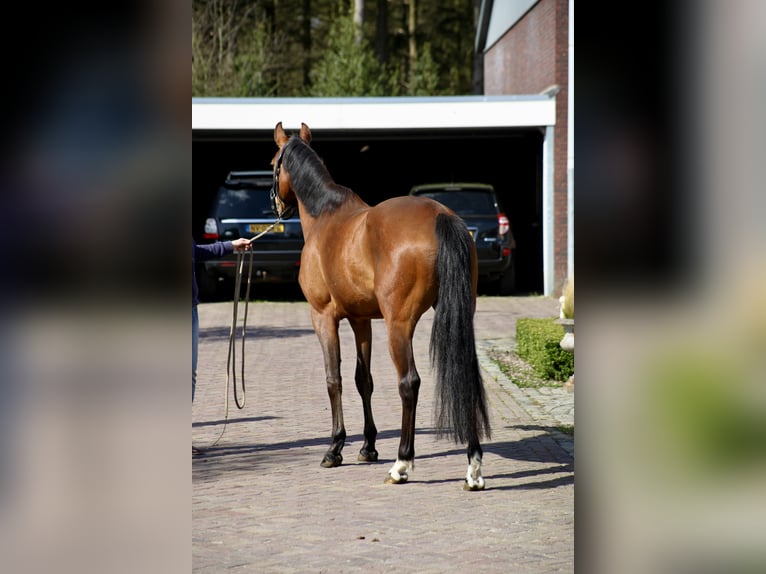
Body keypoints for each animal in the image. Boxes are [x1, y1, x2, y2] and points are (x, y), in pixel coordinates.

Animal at [270, 122, 491, 490]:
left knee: (409, 383)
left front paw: (334, 448)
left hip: (398, 325)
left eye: (273, 163)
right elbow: (364, 380)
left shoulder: (323, 316)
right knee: (464, 376)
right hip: (462, 317)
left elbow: (334, 379)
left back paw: (402, 464)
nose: (275, 206)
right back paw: (472, 468)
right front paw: (368, 447)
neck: (326, 216)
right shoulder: (361, 320)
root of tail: (441, 215)